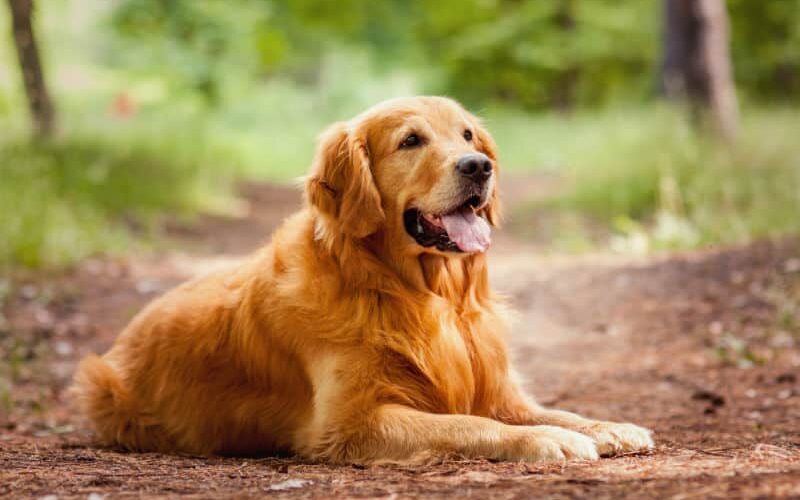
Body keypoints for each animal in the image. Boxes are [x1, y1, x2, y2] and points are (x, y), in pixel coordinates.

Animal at [72, 95, 652, 462]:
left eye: (467, 134)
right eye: (411, 140)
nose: (478, 165)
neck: (420, 293)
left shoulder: (499, 389)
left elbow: (553, 410)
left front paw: (608, 426)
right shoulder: (351, 422)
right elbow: (469, 424)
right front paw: (545, 441)